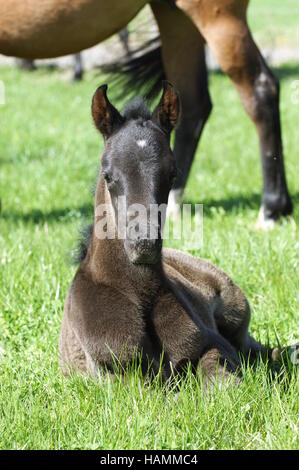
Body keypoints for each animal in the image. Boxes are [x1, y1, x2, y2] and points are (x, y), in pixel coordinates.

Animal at [0, 0, 292, 228]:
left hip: (219, 19)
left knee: (261, 90)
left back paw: (271, 209)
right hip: (176, 19)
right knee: (194, 106)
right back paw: (171, 204)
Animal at [59, 82, 282, 384]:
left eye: (173, 174)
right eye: (108, 175)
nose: (144, 244)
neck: (140, 295)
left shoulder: (214, 343)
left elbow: (220, 379)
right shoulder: (115, 374)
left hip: (234, 307)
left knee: (253, 346)